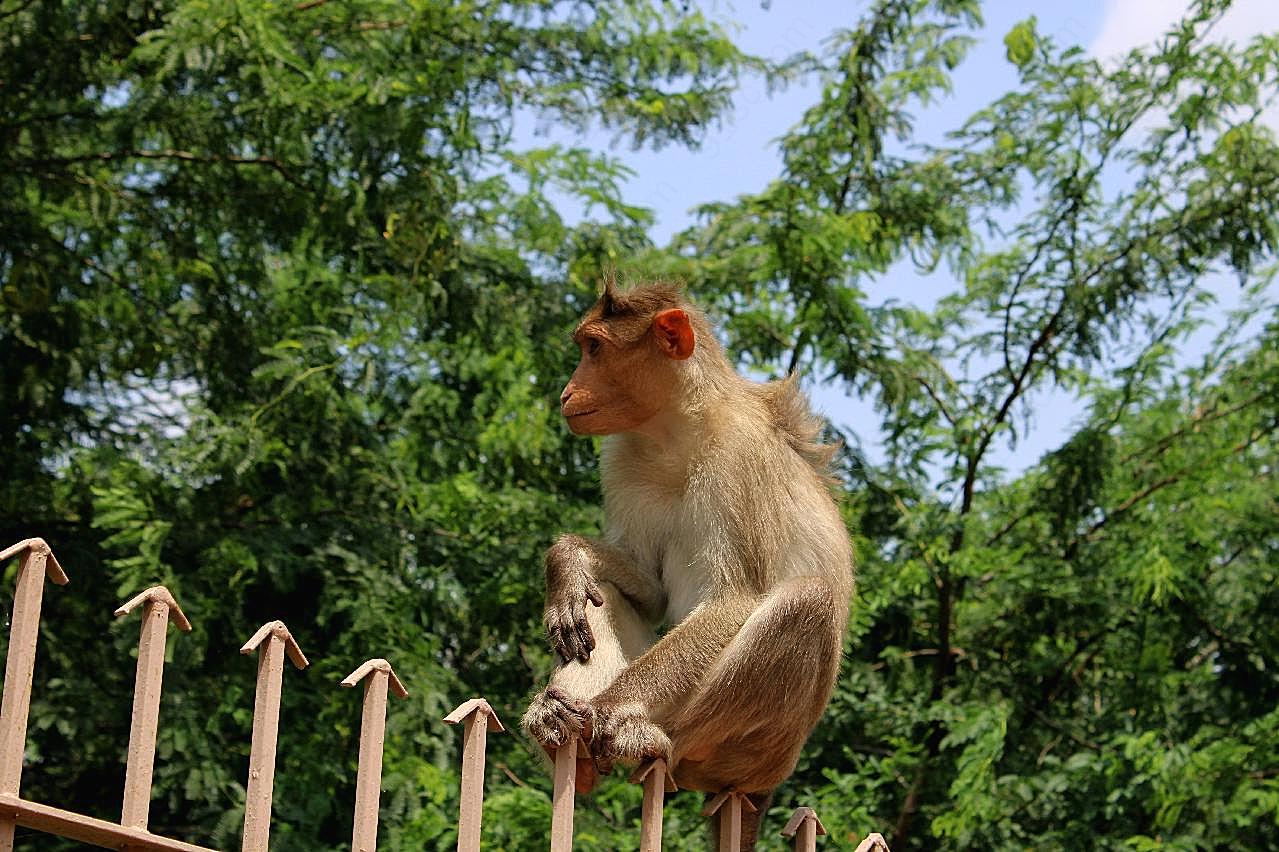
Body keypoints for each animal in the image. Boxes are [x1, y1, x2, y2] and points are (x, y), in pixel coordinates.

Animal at [519, 277, 849, 844]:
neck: (674, 433)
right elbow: (648, 593)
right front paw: (566, 564)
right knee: (603, 596)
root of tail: (769, 783)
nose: (566, 392)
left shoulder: (738, 458)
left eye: (594, 349)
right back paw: (559, 729)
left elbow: (733, 599)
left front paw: (607, 709)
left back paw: (643, 734)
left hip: (760, 751)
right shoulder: (621, 457)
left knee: (807, 602)